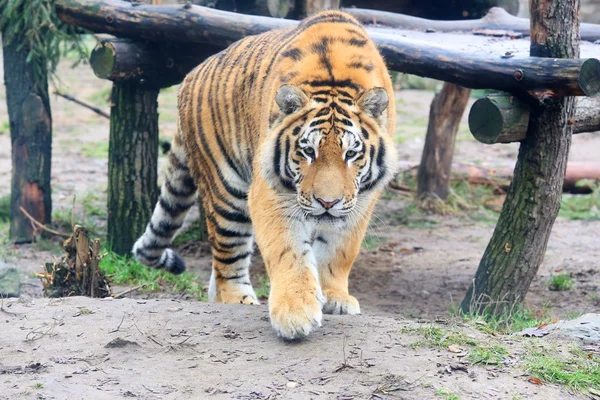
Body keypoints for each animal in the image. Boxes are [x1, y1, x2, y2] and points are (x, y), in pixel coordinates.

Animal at [134, 9, 400, 340]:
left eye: (351, 154)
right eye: (308, 151)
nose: (327, 203)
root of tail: (189, 77)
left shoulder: (361, 201)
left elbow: (339, 251)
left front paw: (335, 296)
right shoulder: (272, 192)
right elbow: (289, 252)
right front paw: (295, 313)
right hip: (227, 192)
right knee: (227, 260)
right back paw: (239, 299)